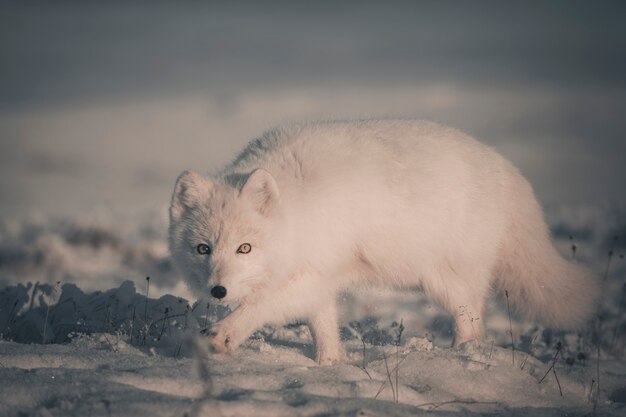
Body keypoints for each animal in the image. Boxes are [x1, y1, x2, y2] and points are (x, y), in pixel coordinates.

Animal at [168, 118, 596, 362]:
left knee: (472, 323)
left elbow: (260, 306)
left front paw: (222, 335)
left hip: (448, 282)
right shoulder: (319, 281)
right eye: (203, 249)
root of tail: (505, 168)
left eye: (245, 248)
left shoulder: (310, 274)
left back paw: (462, 359)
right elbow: (323, 326)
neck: (296, 210)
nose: (218, 291)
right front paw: (330, 366)